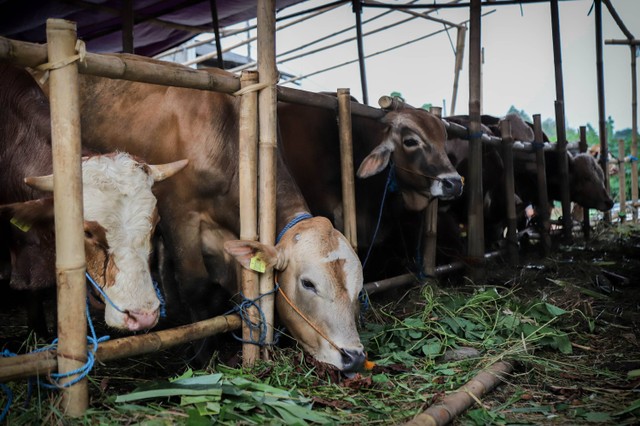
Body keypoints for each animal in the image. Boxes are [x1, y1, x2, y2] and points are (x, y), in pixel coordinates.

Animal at [46, 55, 370, 372]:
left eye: (358, 290)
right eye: (308, 284)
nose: (353, 356)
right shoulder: (180, 215)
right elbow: (197, 287)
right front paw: (201, 357)